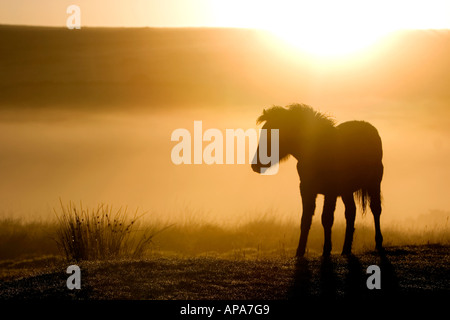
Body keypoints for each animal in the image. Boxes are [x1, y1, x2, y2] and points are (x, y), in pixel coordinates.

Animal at [250, 104, 384, 256]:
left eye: (272, 134)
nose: (255, 165)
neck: (319, 151)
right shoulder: (306, 190)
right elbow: (305, 220)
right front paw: (299, 251)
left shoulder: (330, 192)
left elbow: (326, 219)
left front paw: (326, 250)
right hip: (347, 191)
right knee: (351, 212)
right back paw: (345, 249)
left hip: (374, 184)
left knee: (375, 209)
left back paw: (378, 243)